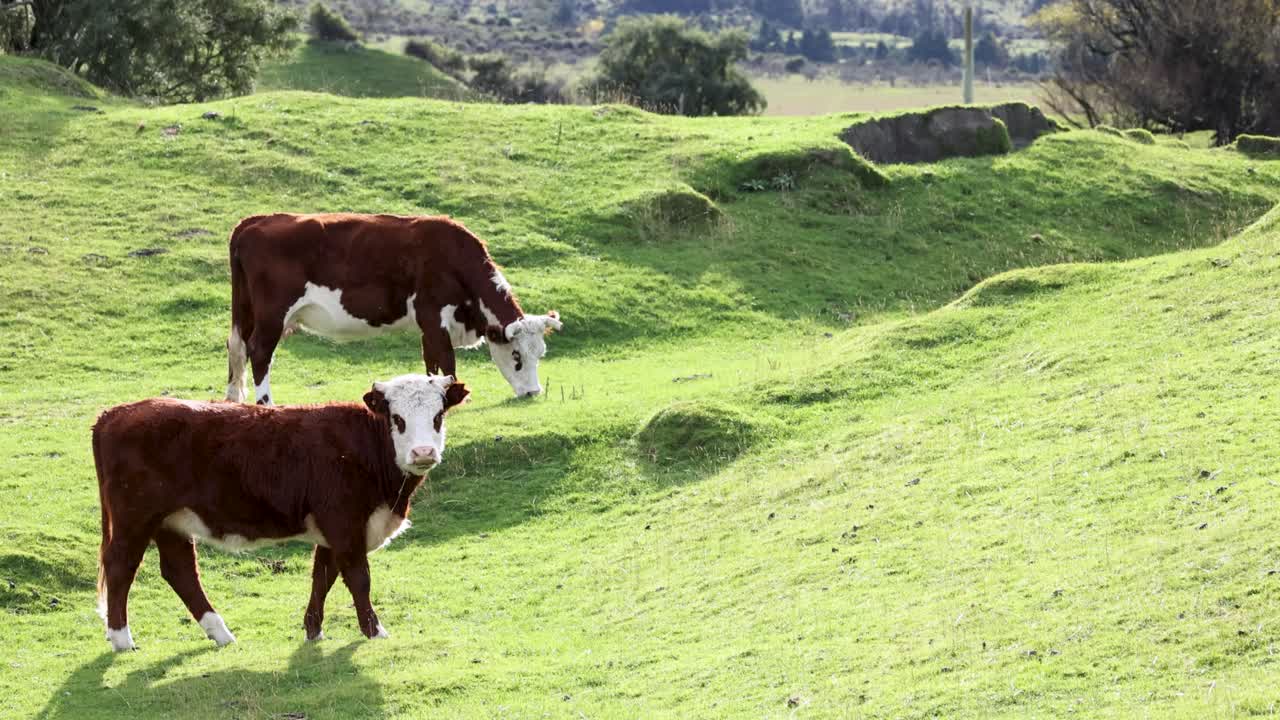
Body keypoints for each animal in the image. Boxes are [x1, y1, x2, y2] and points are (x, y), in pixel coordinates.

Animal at [91, 374, 469, 652]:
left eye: (437, 417)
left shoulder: (331, 531)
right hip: (134, 518)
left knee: (179, 571)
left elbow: (323, 577)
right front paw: (374, 631)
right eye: (398, 419)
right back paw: (122, 639)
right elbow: (358, 578)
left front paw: (313, 630)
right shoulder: (345, 525)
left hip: (172, 522)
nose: (423, 452)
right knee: (121, 566)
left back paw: (221, 634)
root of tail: (116, 413)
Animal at [224, 213, 563, 405]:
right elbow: (447, 362)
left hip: (244, 308)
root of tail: (253, 221)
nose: (533, 393)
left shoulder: (428, 326)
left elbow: (431, 362)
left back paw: (233, 398)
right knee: (259, 351)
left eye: (540, 353)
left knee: (236, 346)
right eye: (516, 356)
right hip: (272, 313)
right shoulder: (434, 315)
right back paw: (265, 403)